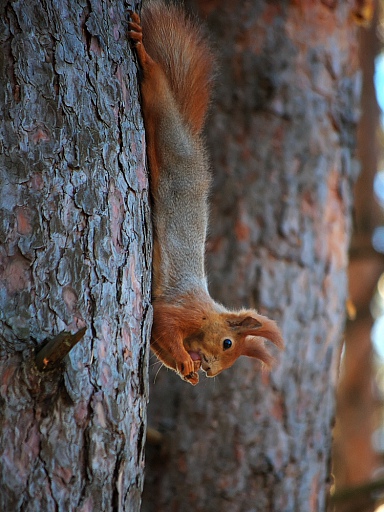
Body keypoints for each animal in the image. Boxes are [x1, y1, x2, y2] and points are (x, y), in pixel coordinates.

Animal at [128, 0, 282, 384]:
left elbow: (160, 346)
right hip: (168, 133)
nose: (211, 372)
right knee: (157, 88)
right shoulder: (179, 310)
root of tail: (191, 141)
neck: (206, 315)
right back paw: (143, 51)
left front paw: (187, 370)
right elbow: (164, 326)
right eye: (228, 343)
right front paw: (187, 363)